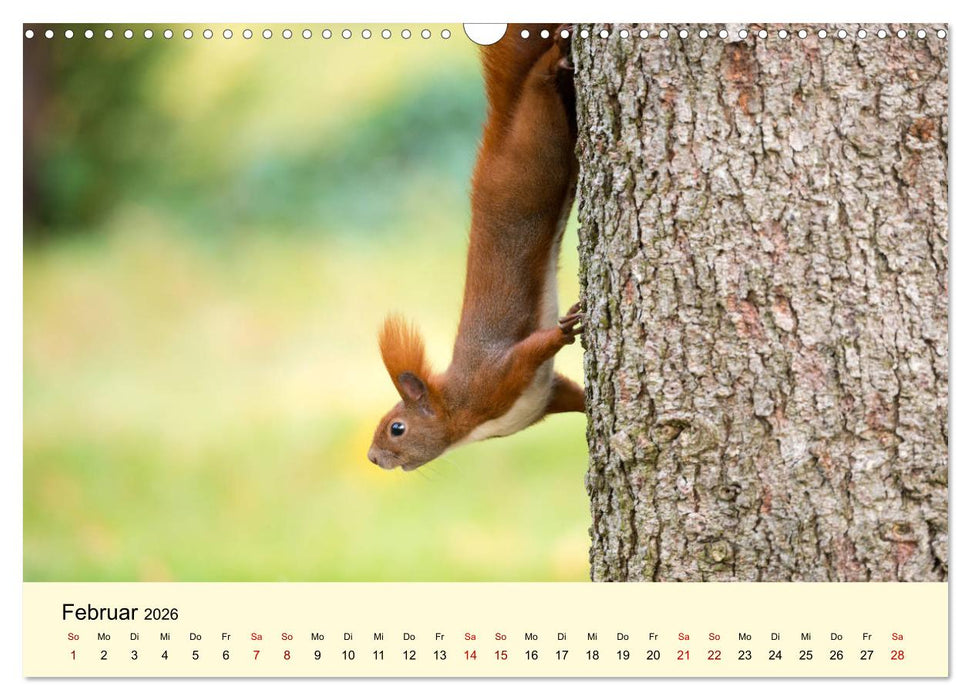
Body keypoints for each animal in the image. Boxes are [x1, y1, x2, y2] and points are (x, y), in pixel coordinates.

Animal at [367, 24, 583, 471]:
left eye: (397, 428)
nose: (372, 458)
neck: (460, 415)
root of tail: (498, 132)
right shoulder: (546, 398)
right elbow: (574, 395)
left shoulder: (493, 377)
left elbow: (532, 349)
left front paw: (565, 328)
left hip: (536, 143)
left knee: (536, 87)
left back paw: (554, 57)